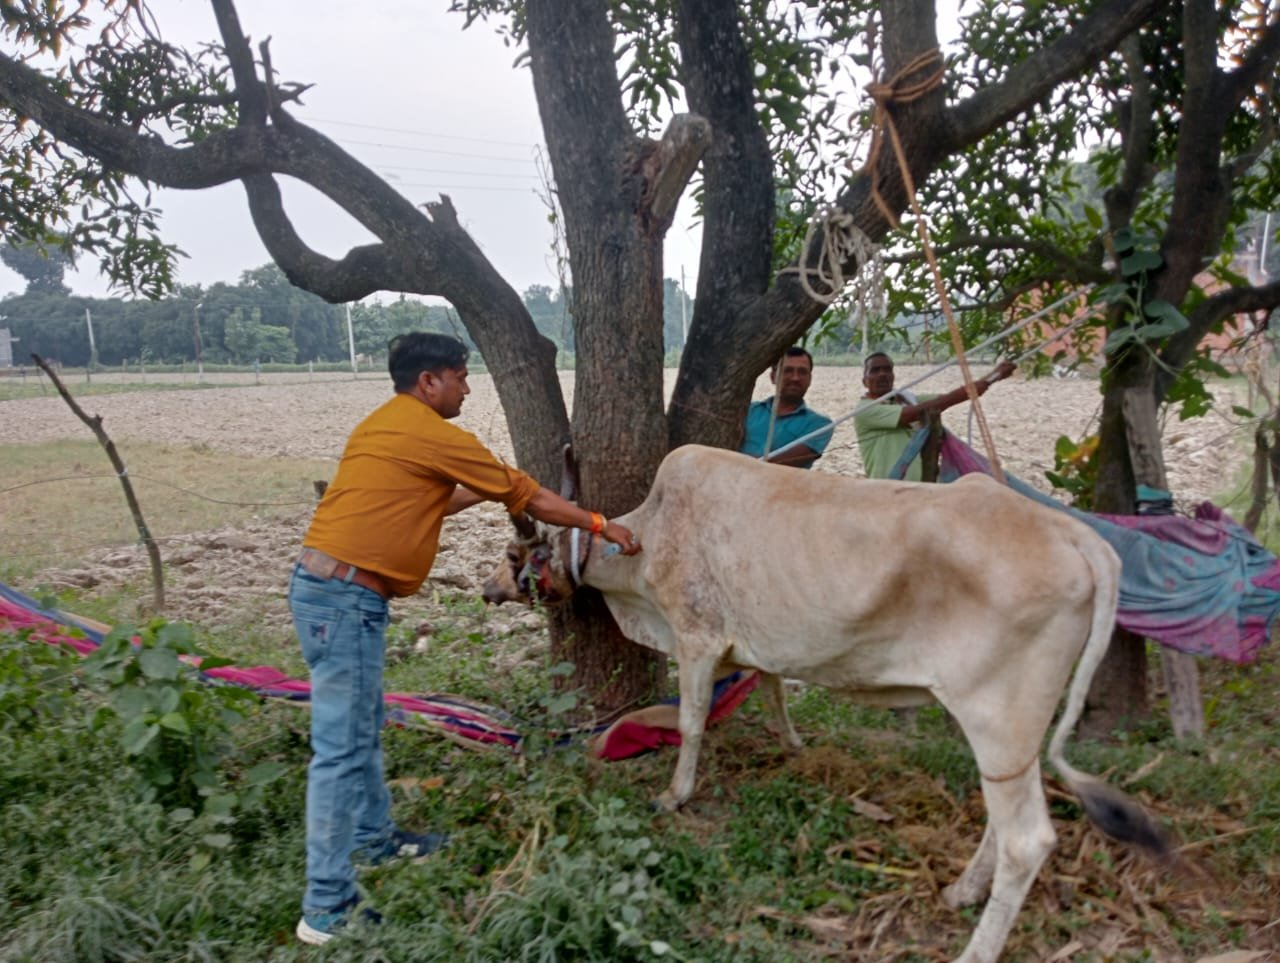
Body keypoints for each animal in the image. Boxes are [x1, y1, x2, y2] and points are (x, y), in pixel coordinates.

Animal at [482, 444, 1168, 963]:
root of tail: (1077, 535)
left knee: (1026, 839)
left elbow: (693, 722)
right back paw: (960, 893)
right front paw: (792, 743)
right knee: (1005, 822)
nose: (489, 589)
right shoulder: (754, 646)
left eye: (515, 555)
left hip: (997, 715)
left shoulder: (697, 639)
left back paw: (975, 947)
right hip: (1013, 737)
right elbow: (773, 690)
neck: (646, 538)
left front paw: (674, 795)